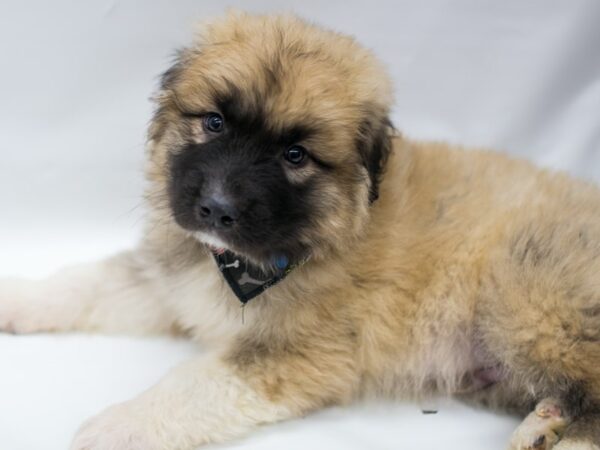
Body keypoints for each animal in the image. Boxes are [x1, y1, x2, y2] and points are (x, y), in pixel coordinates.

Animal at [1, 10, 600, 450]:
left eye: (295, 155)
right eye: (214, 122)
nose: (216, 210)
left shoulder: (298, 354)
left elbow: (192, 383)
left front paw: (120, 426)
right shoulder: (171, 281)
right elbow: (85, 283)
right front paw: (17, 298)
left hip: (528, 296)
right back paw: (543, 423)